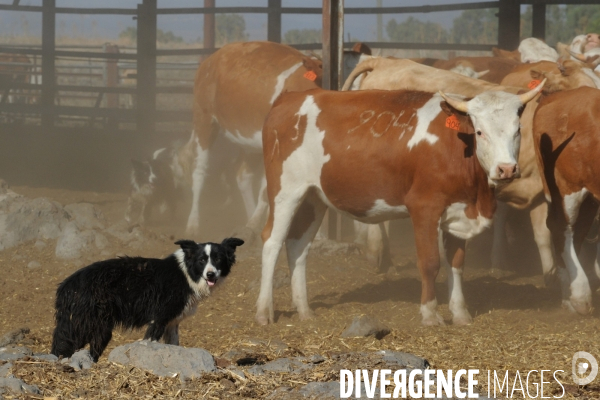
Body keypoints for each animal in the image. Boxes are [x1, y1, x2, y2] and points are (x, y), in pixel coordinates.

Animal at [536, 86, 600, 314]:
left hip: (590, 195)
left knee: (577, 231)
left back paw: (568, 295)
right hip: (566, 186)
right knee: (561, 227)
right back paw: (579, 295)